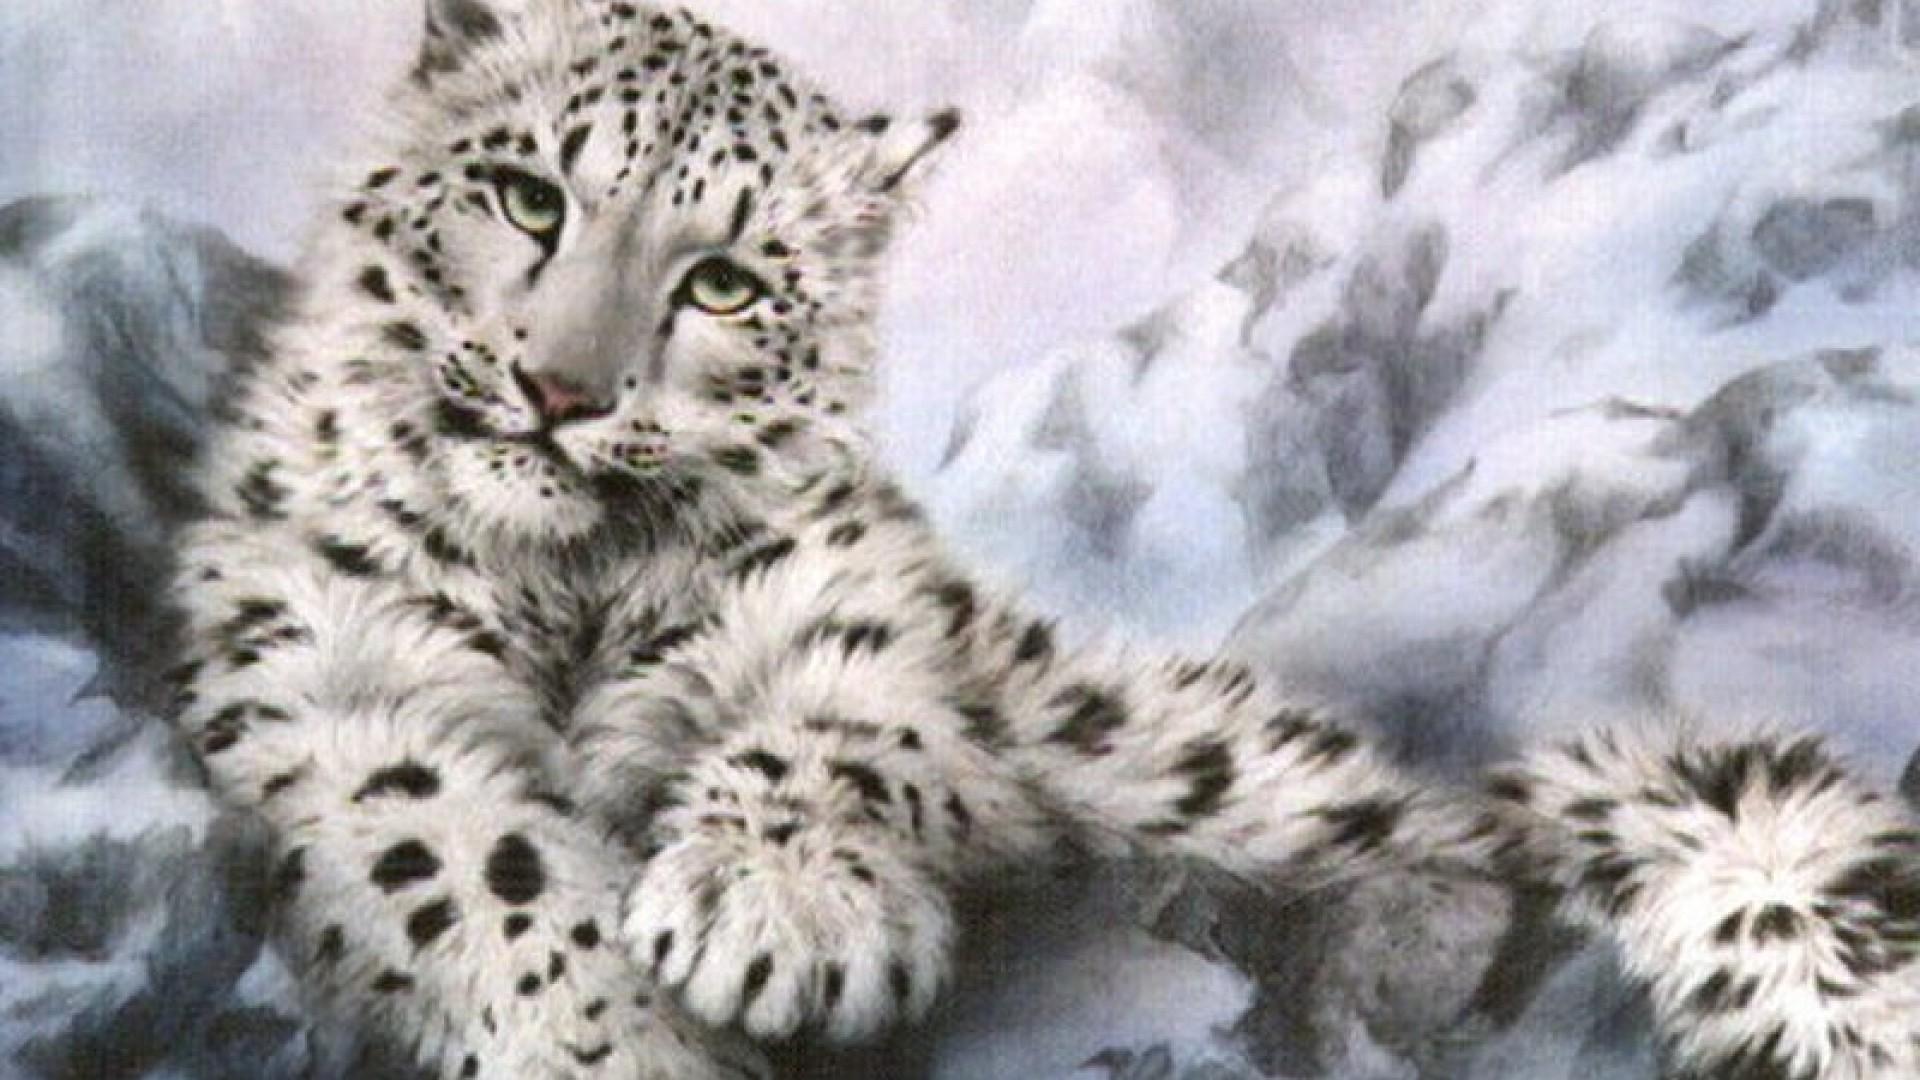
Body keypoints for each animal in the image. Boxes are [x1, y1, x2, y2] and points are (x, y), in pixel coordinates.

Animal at [164, 1, 1920, 1076]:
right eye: (530, 196)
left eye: (723, 280)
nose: (559, 390)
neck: (574, 591)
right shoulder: (329, 689)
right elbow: (472, 848)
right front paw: (625, 1033)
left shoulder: (864, 621)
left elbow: (833, 728)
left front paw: (778, 911)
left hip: (1176, 749)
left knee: (1438, 829)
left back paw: (1396, 939)